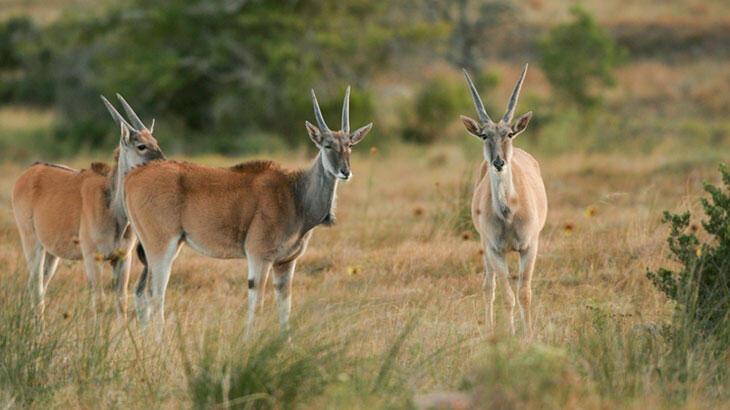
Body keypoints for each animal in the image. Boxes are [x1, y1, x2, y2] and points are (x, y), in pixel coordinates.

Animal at [12, 94, 163, 316]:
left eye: (155, 142)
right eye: (141, 146)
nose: (163, 163)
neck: (113, 209)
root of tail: (30, 171)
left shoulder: (123, 259)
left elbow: (121, 302)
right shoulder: (93, 258)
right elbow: (98, 302)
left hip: (51, 253)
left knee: (40, 284)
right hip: (32, 242)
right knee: (36, 285)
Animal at [124, 85, 370, 336]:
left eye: (349, 145)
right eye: (327, 145)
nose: (345, 172)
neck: (295, 194)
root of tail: (133, 175)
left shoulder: (285, 263)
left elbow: (285, 309)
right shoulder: (259, 257)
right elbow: (257, 304)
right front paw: (250, 340)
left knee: (143, 292)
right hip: (161, 246)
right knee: (155, 293)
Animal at [460, 65, 544, 336]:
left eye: (509, 133)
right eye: (484, 135)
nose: (498, 162)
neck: (509, 212)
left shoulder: (529, 247)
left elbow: (524, 294)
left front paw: (528, 335)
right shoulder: (495, 250)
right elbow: (507, 296)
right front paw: (512, 334)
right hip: (485, 248)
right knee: (489, 287)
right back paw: (488, 329)